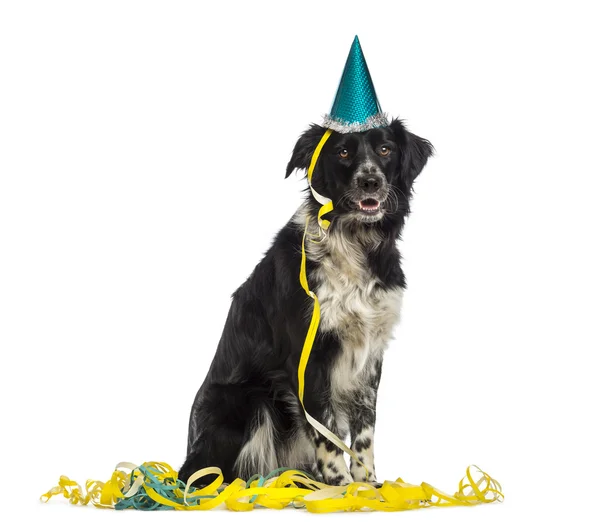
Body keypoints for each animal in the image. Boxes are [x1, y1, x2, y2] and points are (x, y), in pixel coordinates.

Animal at [178, 117, 432, 484]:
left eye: (386, 149)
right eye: (342, 152)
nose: (370, 181)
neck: (355, 243)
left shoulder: (370, 354)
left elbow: (365, 427)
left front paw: (367, 484)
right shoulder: (309, 354)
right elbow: (325, 430)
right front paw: (340, 485)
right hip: (247, 400)